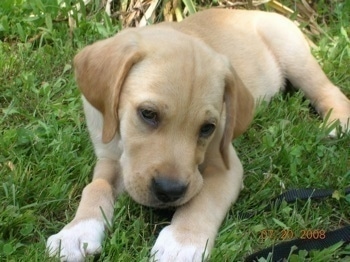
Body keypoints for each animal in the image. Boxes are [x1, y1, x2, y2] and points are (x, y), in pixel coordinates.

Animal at [47, 8, 350, 262]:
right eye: (148, 113)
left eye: (207, 128)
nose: (169, 192)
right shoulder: (109, 156)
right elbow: (95, 187)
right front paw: (76, 233)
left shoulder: (225, 165)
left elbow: (204, 198)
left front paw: (181, 243)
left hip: (292, 53)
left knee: (326, 87)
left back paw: (338, 119)